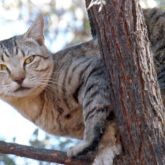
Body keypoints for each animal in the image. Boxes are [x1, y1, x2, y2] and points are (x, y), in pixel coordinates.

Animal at [0, 6, 163, 165]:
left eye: (29, 59)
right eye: (2, 67)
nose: (19, 78)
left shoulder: (95, 69)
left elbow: (93, 111)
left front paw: (89, 143)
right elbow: (108, 127)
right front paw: (106, 147)